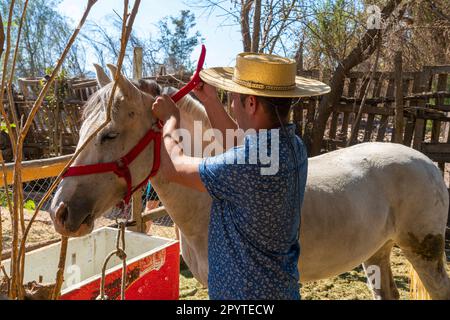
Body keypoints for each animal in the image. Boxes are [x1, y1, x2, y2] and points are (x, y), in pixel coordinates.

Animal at [49, 66, 450, 298]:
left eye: (109, 135)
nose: (60, 212)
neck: (205, 203)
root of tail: (428, 163)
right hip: (376, 254)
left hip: (424, 254)